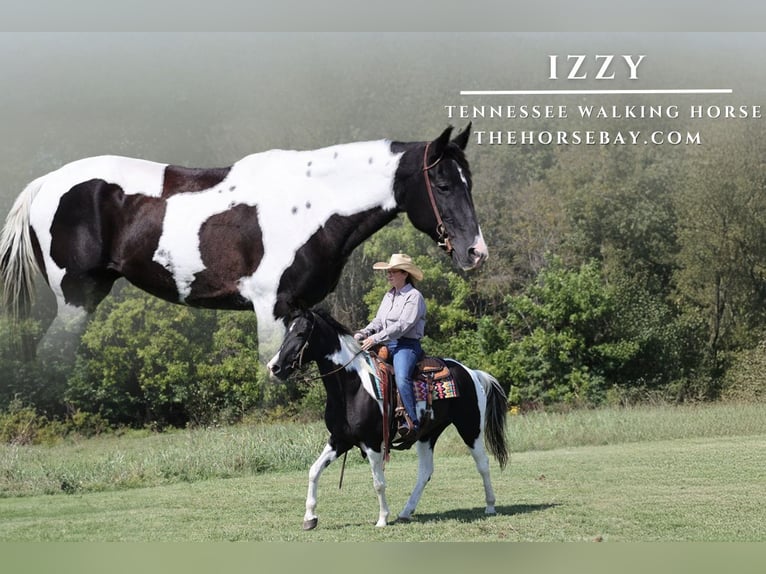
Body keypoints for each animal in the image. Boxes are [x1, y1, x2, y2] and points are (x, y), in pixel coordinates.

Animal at [0, 126, 488, 360]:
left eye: (469, 180)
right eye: (443, 183)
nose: (475, 252)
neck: (311, 202)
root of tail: (45, 183)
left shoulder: (298, 308)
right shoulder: (270, 307)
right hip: (77, 297)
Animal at [270, 310, 510, 532]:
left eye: (301, 333)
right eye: (287, 331)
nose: (274, 367)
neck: (352, 387)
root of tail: (471, 372)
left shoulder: (372, 443)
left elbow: (378, 482)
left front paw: (382, 518)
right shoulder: (339, 440)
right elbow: (314, 471)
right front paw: (309, 518)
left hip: (470, 428)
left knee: (483, 463)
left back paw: (490, 506)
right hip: (427, 435)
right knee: (425, 472)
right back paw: (406, 512)